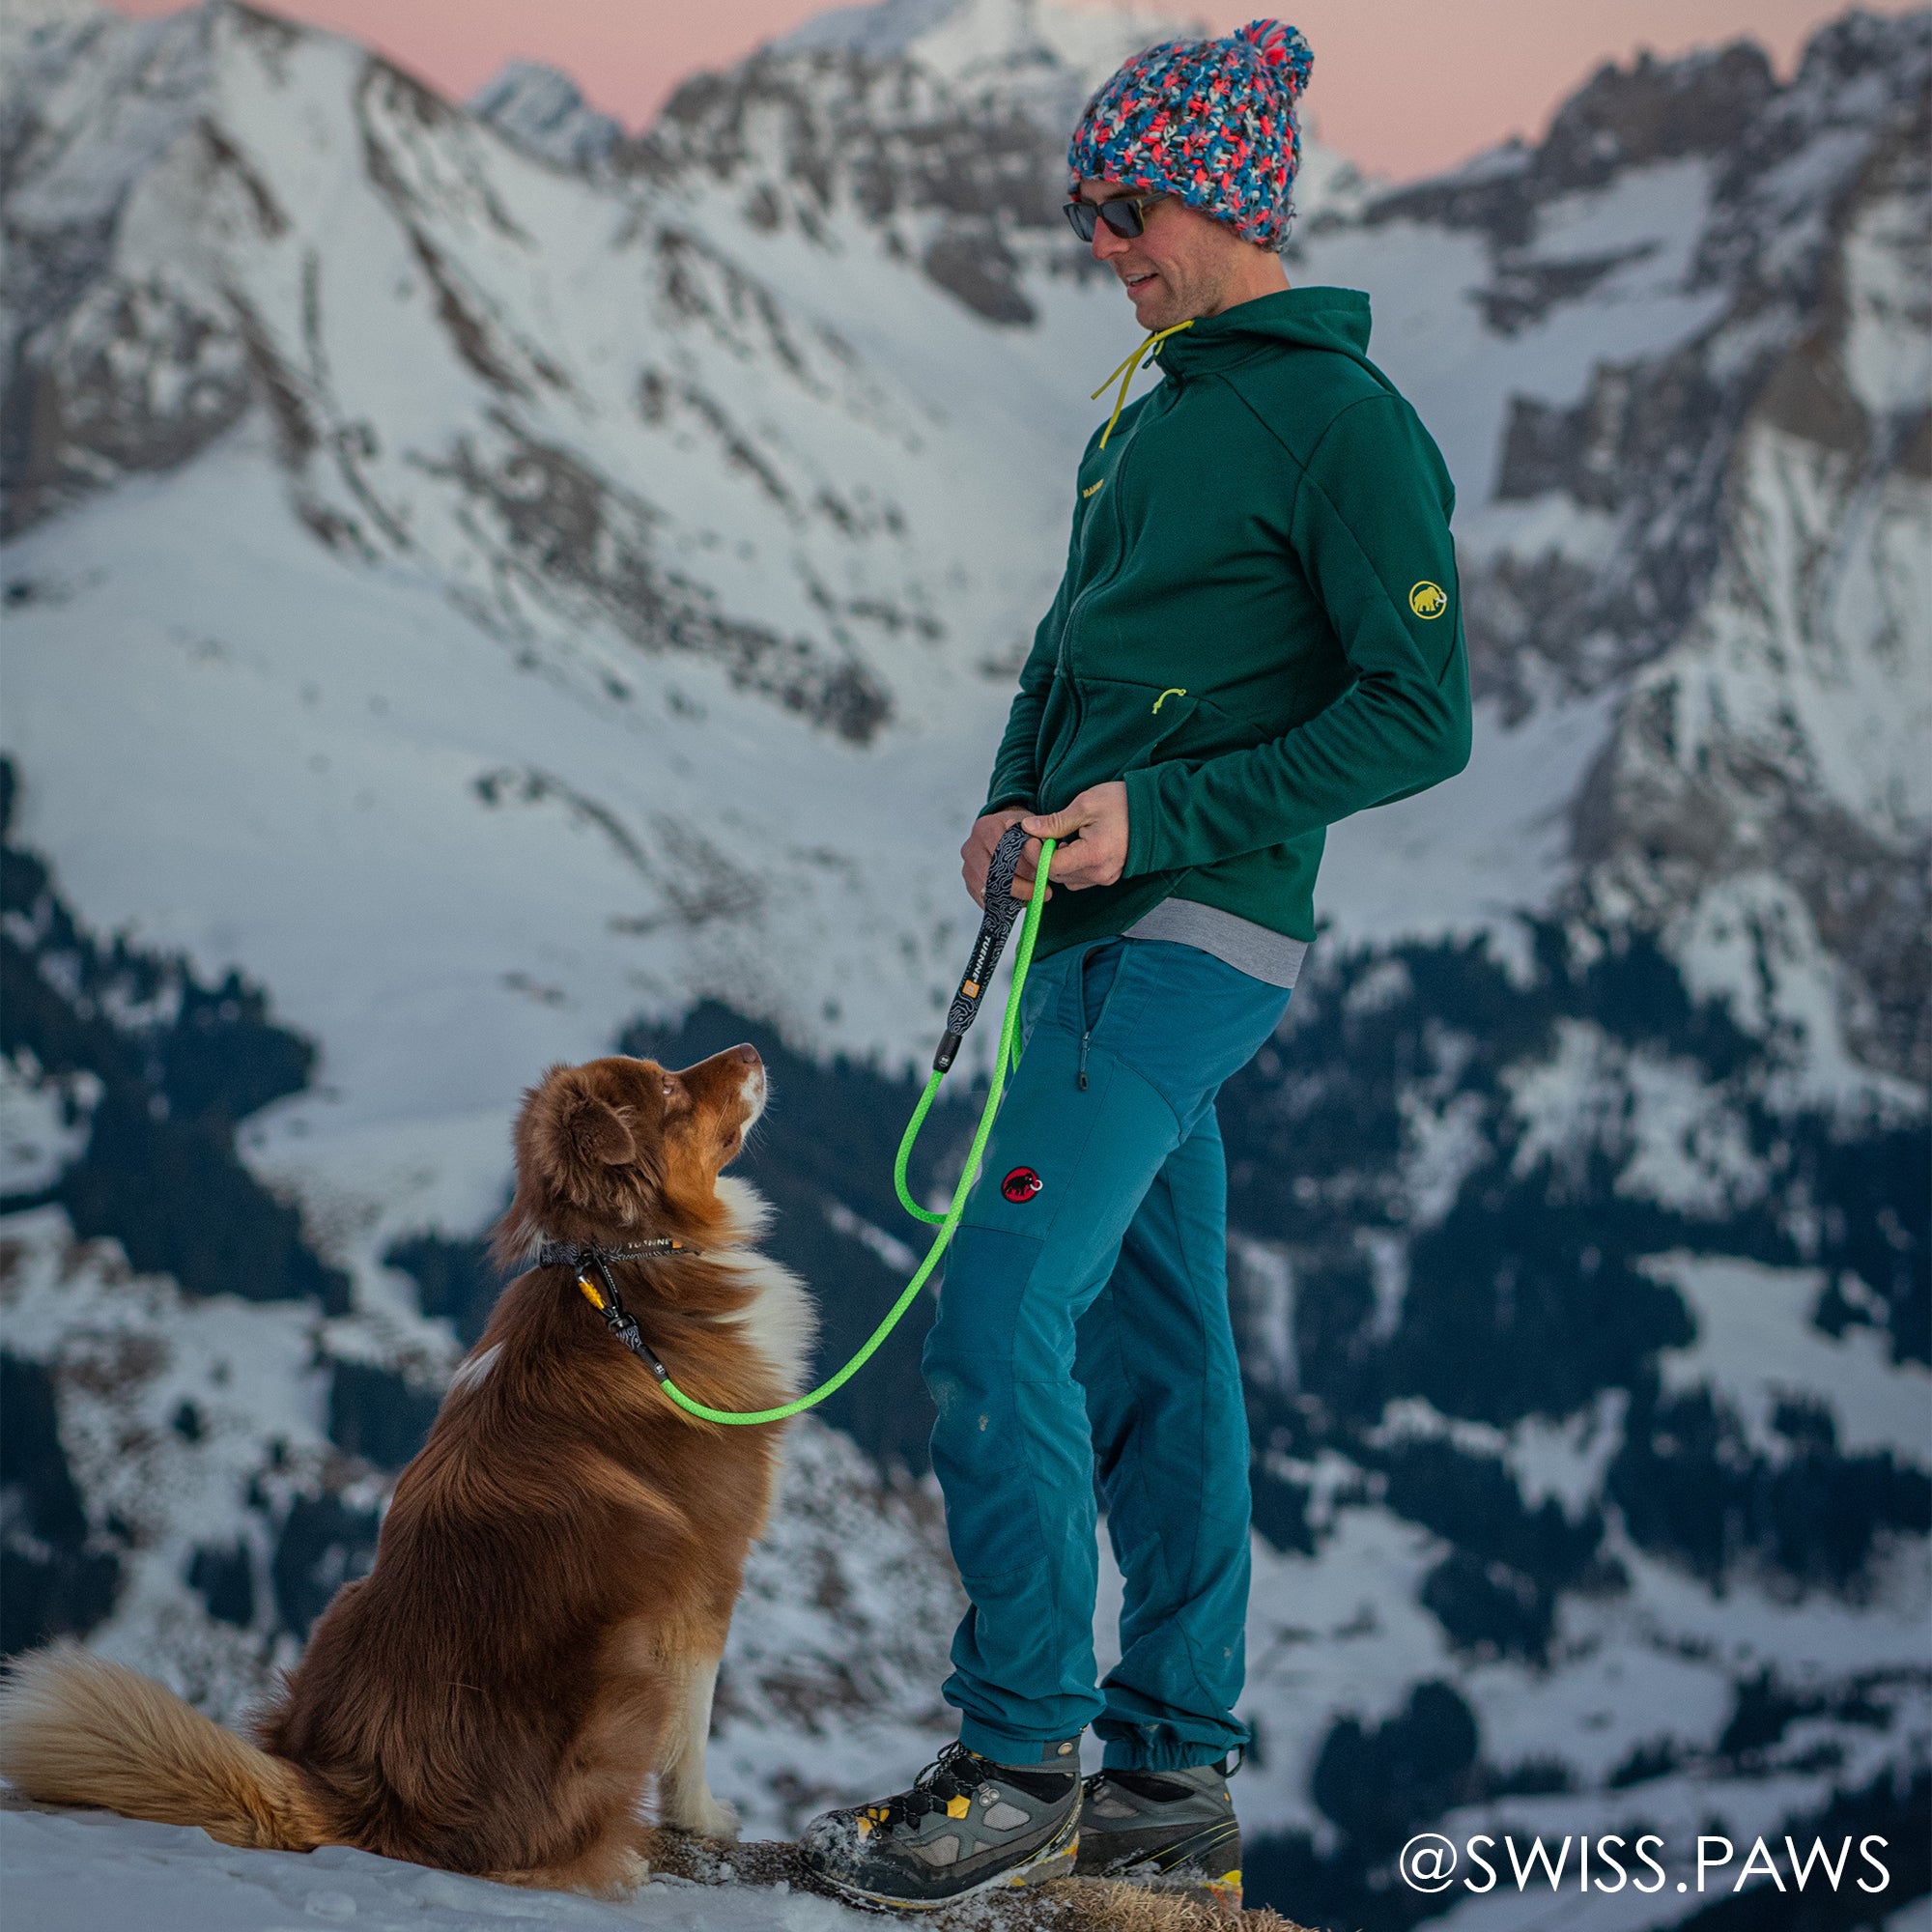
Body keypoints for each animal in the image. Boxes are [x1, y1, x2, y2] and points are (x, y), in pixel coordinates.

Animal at [0, 1051, 815, 1893]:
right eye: (668, 1090)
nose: (752, 1052)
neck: (624, 1271)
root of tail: (365, 1795)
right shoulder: (707, 1576)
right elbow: (693, 1727)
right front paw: (704, 1818)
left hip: (342, 1603)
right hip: (622, 1679)